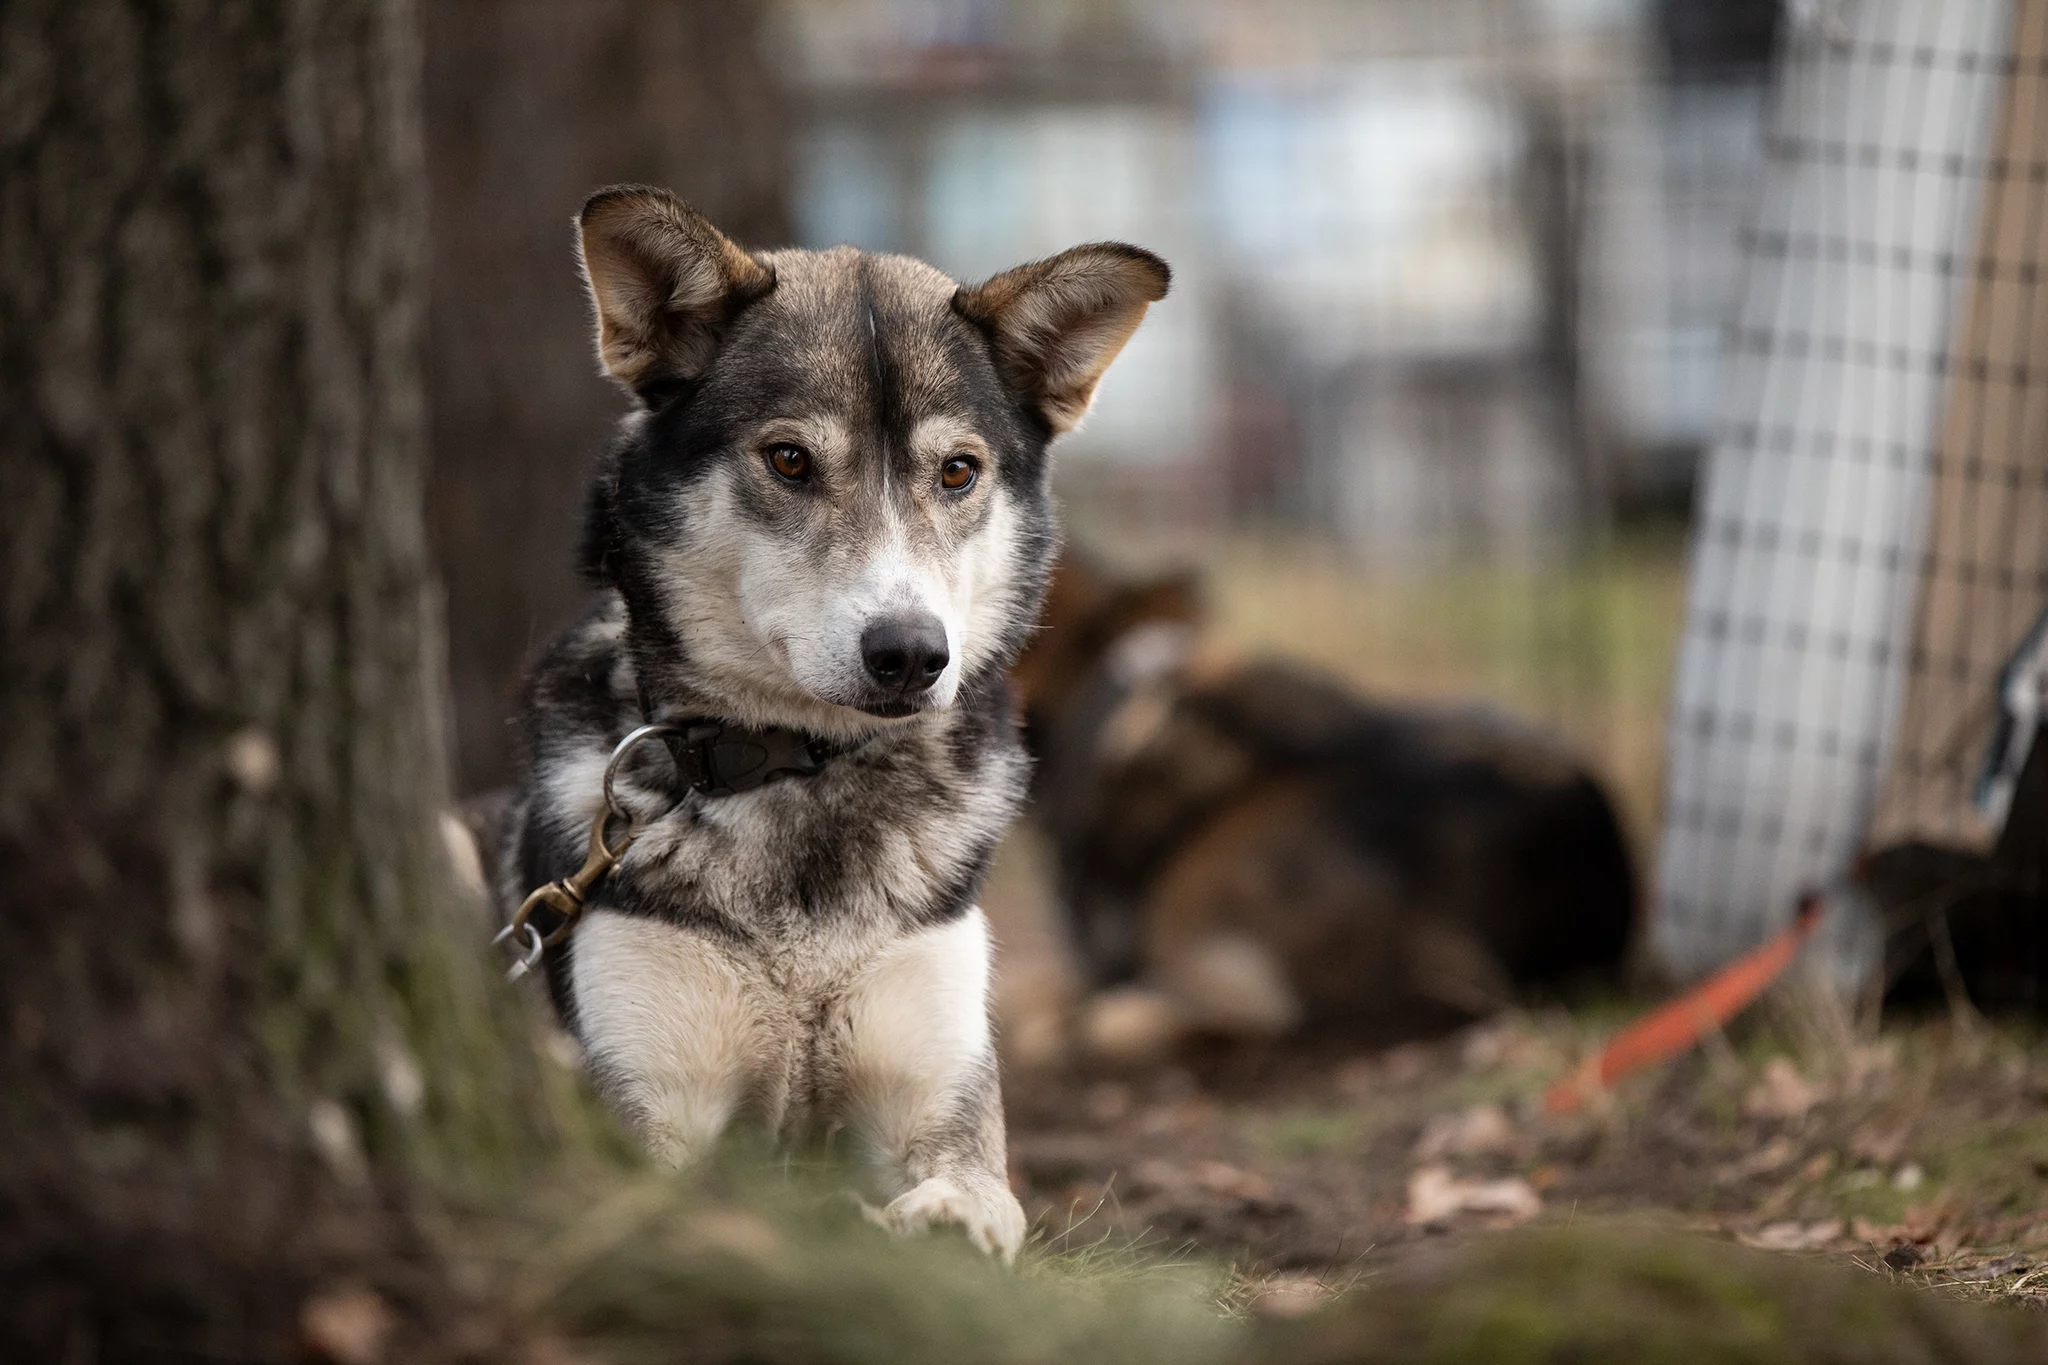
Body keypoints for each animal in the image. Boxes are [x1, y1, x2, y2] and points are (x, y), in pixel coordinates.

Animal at [485, 184, 1171, 1260]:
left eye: (957, 471)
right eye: (789, 459)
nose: (911, 652)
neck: (800, 769)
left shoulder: (941, 1101)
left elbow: (985, 1200)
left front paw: (929, 1228)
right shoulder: (644, 1118)